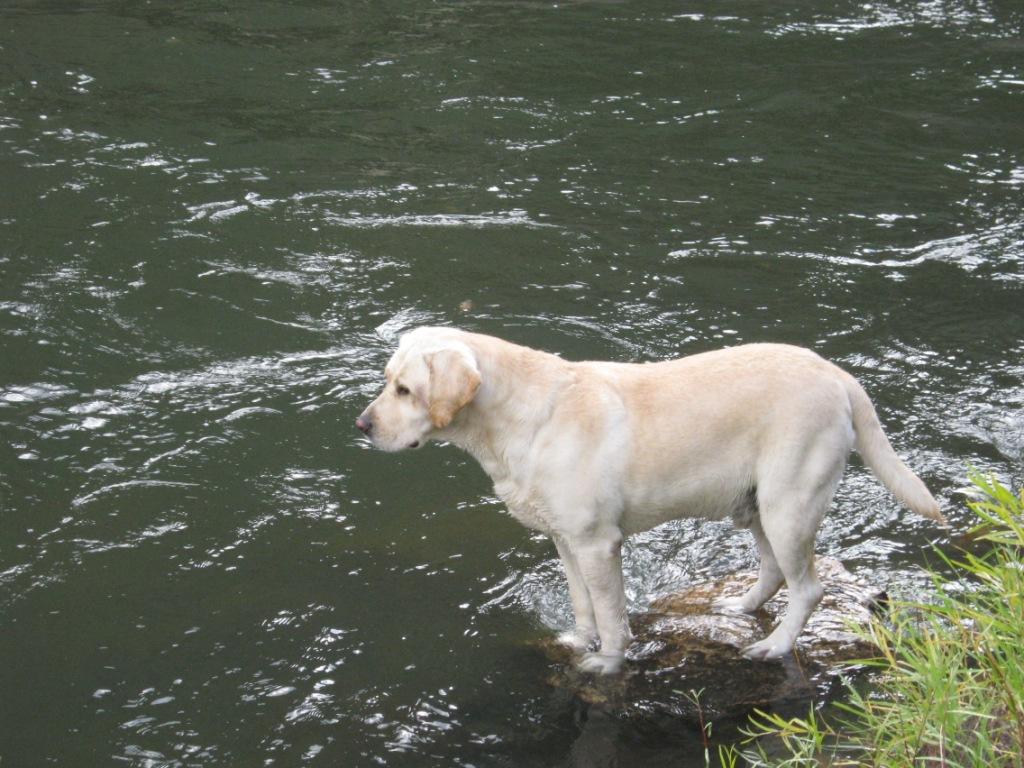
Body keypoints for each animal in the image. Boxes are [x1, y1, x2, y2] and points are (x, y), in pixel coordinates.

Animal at [358, 327, 942, 675]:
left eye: (405, 390)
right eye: (388, 382)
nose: (361, 426)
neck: (525, 418)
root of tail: (837, 373)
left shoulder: (598, 544)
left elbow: (612, 613)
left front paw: (608, 662)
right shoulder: (566, 542)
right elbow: (583, 605)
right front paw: (578, 642)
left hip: (789, 505)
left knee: (808, 588)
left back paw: (774, 646)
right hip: (756, 505)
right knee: (774, 571)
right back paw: (740, 607)